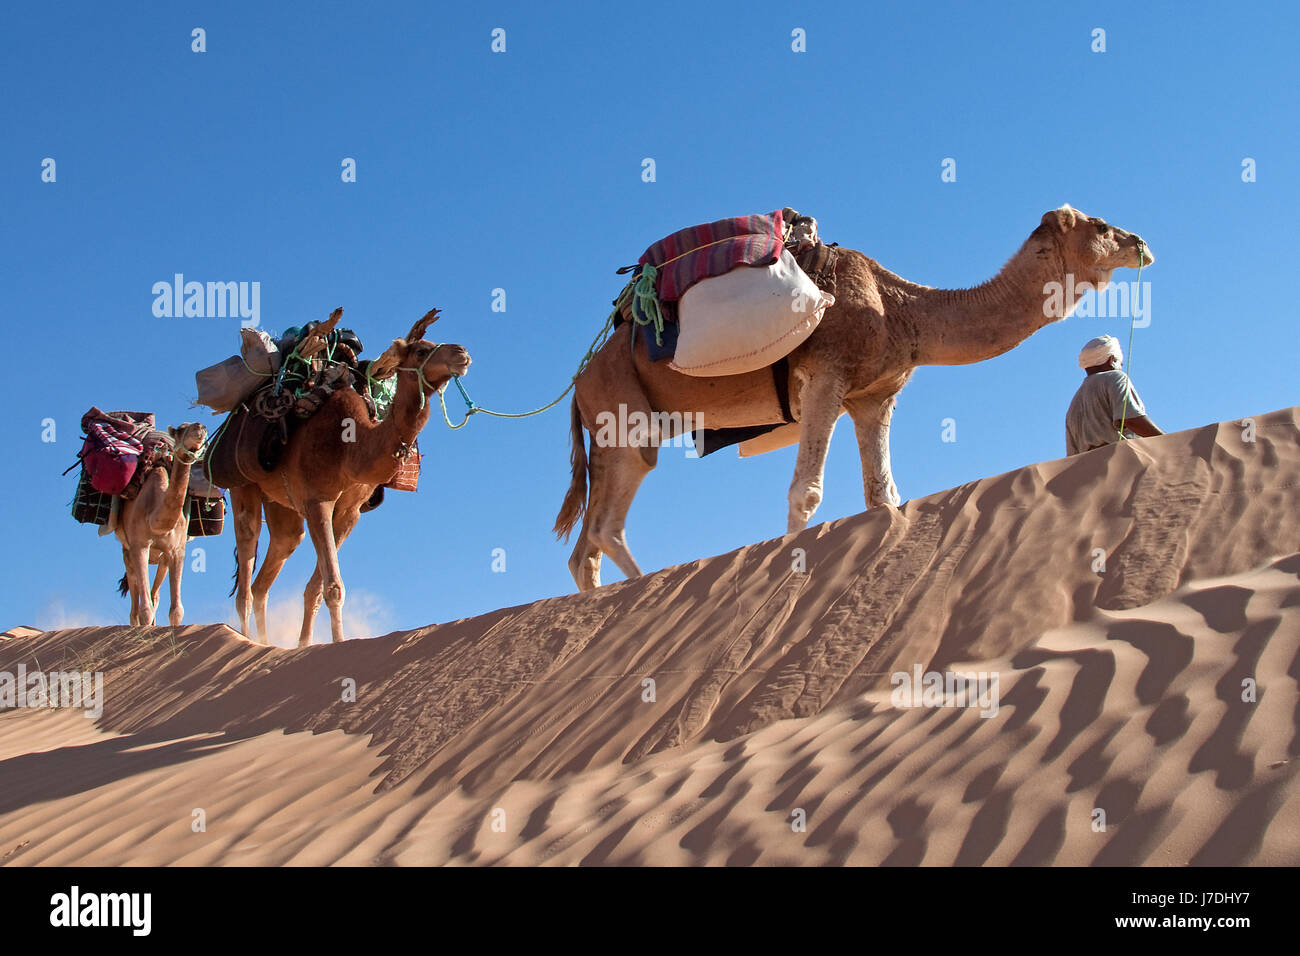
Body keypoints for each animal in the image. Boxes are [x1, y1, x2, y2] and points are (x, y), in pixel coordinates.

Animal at [115, 426, 206, 629]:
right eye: (181, 429)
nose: (200, 428)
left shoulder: (177, 550)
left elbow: (176, 610)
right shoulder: (139, 545)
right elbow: (144, 609)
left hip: (162, 559)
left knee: (154, 594)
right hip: (127, 553)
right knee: (136, 603)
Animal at [232, 310, 473, 647]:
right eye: (421, 350)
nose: (461, 353)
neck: (351, 446)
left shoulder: (349, 512)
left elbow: (317, 588)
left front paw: (308, 645)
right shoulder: (317, 501)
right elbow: (333, 586)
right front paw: (333, 643)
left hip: (282, 505)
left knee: (276, 557)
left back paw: (264, 642)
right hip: (243, 485)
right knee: (246, 557)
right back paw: (247, 640)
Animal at [553, 205, 1154, 587]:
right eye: (1101, 225)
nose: (1142, 244)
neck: (902, 310)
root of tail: (578, 386)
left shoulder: (873, 396)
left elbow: (882, 496)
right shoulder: (826, 376)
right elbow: (807, 493)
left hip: (615, 431)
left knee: (586, 547)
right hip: (623, 420)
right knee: (606, 526)